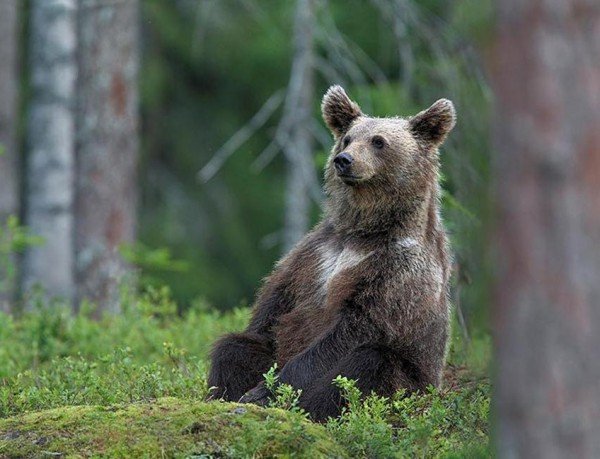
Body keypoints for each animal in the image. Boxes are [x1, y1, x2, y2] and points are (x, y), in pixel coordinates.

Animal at [206, 84, 454, 422]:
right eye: (348, 137)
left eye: (378, 141)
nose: (344, 160)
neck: (363, 232)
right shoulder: (315, 253)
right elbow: (273, 307)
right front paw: (253, 388)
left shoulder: (399, 271)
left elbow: (353, 330)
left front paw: (268, 391)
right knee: (234, 347)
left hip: (409, 387)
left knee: (369, 364)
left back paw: (312, 411)